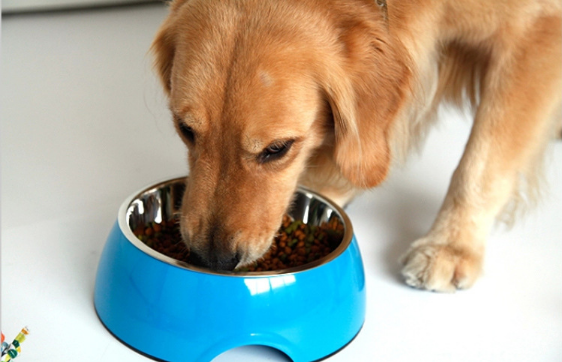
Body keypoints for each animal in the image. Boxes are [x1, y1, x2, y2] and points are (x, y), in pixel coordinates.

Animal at [150, 0, 560, 292]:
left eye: (278, 148)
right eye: (185, 130)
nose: (211, 259)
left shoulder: (538, 29)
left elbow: (483, 161)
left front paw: (451, 244)